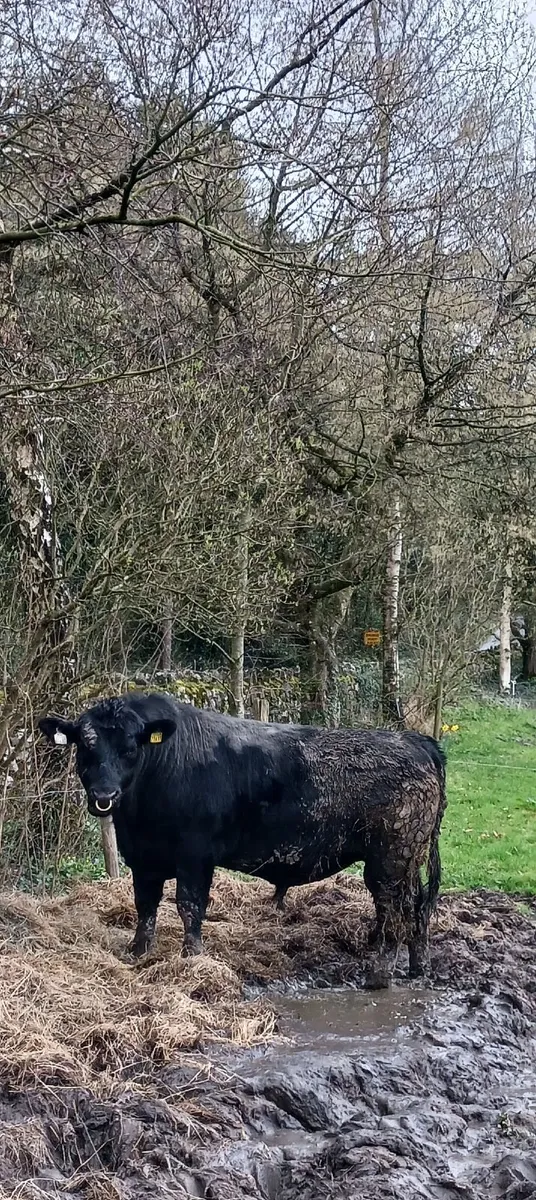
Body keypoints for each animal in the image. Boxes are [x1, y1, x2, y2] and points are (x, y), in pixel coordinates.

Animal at [39, 692, 447, 977]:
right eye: (85, 745)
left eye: (129, 748)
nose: (104, 796)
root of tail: (413, 740)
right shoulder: (144, 859)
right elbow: (146, 906)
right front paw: (138, 952)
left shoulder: (195, 857)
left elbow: (189, 906)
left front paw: (192, 957)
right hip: (405, 860)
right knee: (416, 908)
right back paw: (419, 966)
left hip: (390, 860)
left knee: (395, 911)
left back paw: (379, 975)